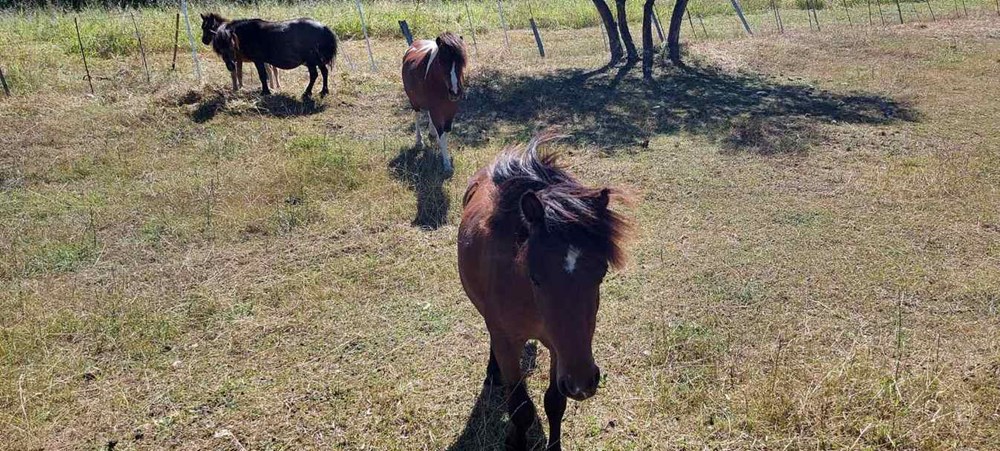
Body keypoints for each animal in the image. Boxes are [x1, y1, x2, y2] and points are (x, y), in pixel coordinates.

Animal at [201, 13, 338, 99]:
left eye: (231, 45)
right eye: (220, 48)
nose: (230, 66)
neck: (247, 33)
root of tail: (324, 27)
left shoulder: (258, 60)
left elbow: (262, 76)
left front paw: (265, 92)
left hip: (311, 60)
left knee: (314, 75)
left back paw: (307, 93)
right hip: (317, 60)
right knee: (324, 72)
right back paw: (324, 91)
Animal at [402, 31, 468, 175]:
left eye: (462, 61)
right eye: (441, 61)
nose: (455, 92)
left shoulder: (450, 110)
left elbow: (445, 132)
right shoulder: (436, 110)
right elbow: (442, 134)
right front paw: (446, 164)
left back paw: (432, 133)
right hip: (414, 102)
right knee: (417, 115)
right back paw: (419, 141)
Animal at [458, 135, 628, 451]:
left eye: (601, 273)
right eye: (535, 278)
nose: (582, 384)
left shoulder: (559, 347)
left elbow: (554, 403)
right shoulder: (508, 342)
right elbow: (521, 408)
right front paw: (516, 442)